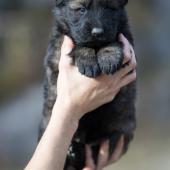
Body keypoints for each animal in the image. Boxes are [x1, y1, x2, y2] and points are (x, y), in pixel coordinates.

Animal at [38, 0, 137, 169]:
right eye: (81, 9)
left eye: (109, 8)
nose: (97, 32)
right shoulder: (60, 44)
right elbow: (78, 44)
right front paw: (87, 60)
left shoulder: (125, 39)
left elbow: (113, 39)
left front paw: (109, 57)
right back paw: (72, 150)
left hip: (119, 128)